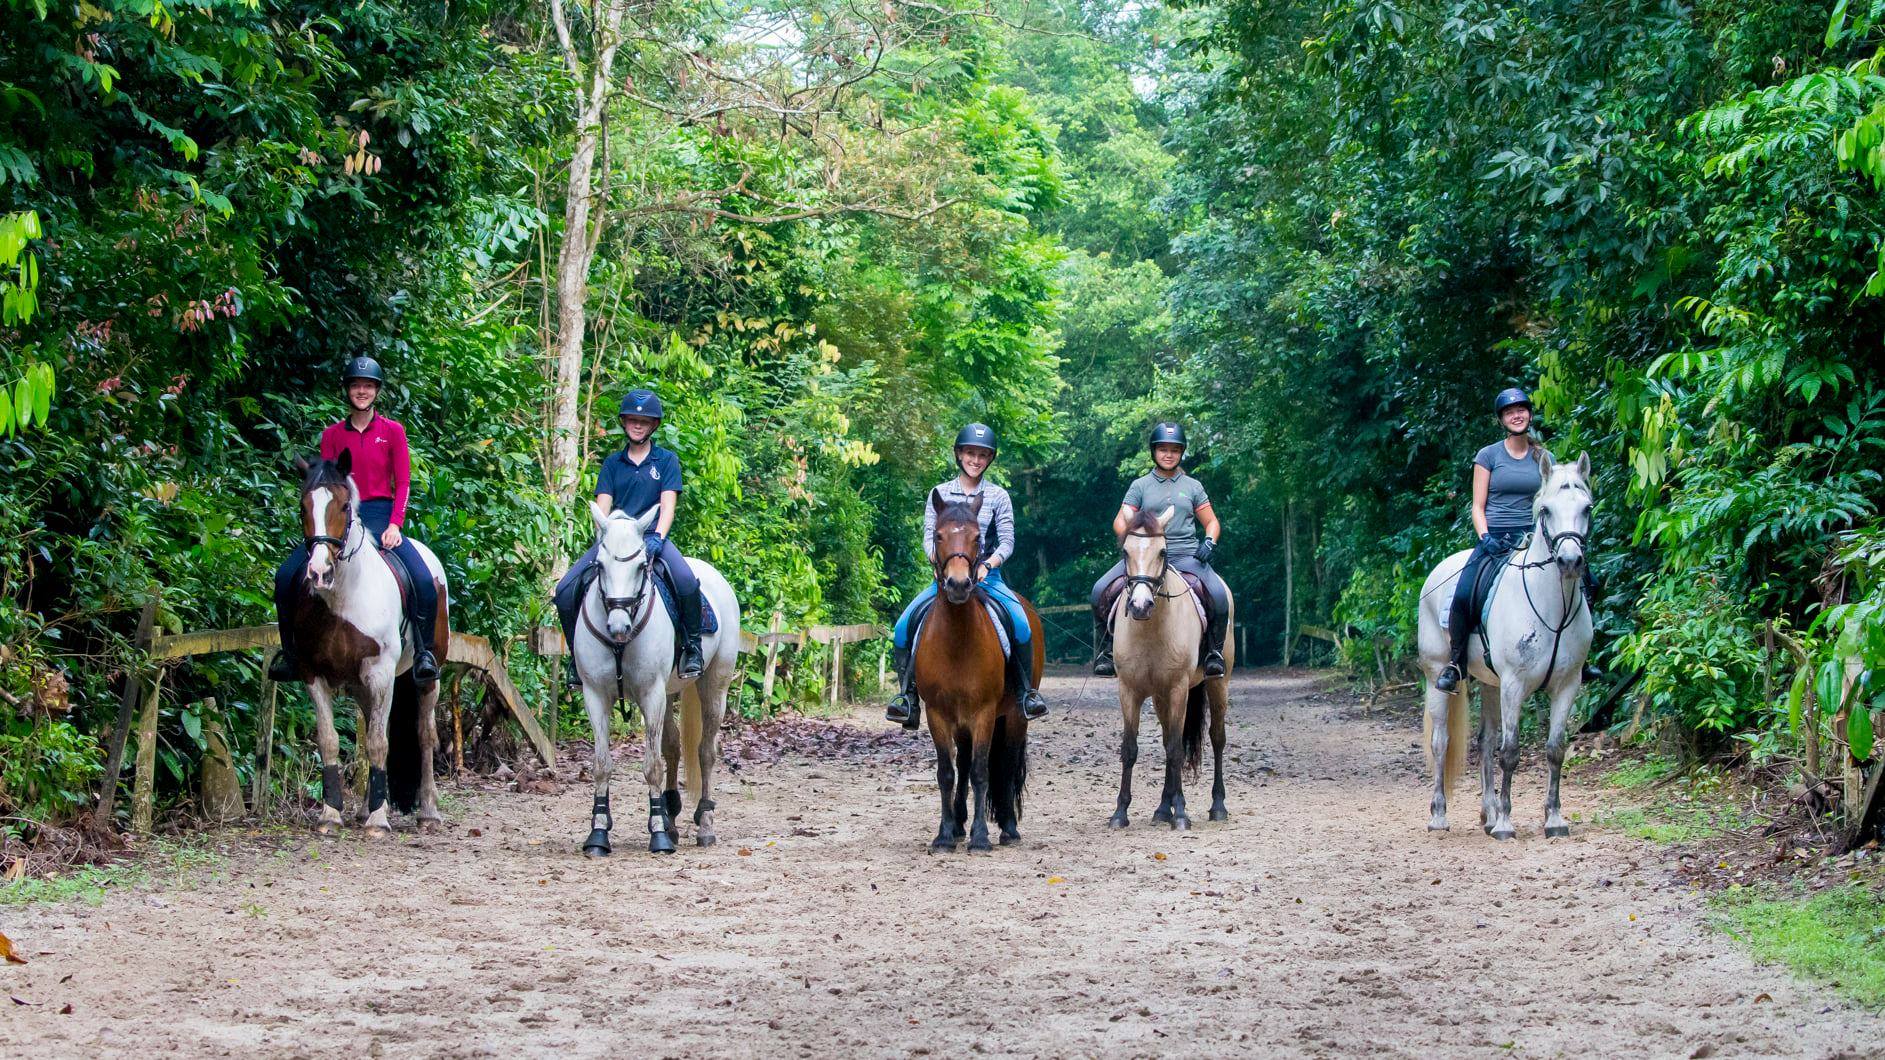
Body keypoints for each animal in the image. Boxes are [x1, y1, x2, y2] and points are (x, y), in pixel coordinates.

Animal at [284, 448, 446, 829]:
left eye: (344, 506)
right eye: (303, 505)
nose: (319, 572)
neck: (344, 596)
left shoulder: (382, 672)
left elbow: (378, 742)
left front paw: (378, 822)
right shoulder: (313, 673)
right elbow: (330, 741)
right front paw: (331, 814)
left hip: (427, 676)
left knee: (424, 734)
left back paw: (428, 811)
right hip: (360, 685)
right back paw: (366, 806)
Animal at [569, 497, 738, 852]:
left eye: (640, 566)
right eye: (599, 566)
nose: (618, 627)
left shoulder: (651, 693)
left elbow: (652, 765)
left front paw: (658, 834)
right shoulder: (595, 694)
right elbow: (602, 765)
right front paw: (598, 833)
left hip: (714, 686)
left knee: (706, 751)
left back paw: (704, 825)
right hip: (670, 693)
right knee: (673, 747)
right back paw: (671, 815)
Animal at [904, 490, 1040, 848]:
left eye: (978, 537)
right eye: (938, 535)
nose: (959, 584)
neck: (957, 641)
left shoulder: (984, 712)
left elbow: (981, 771)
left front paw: (980, 836)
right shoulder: (937, 713)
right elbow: (947, 773)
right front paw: (944, 835)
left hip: (1014, 716)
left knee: (1005, 764)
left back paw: (1008, 828)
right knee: (962, 763)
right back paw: (958, 824)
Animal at [1417, 448, 1590, 837]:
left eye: (1587, 508)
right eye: (1546, 510)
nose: (1570, 561)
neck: (1552, 606)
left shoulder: (1567, 685)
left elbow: (1555, 749)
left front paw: (1554, 819)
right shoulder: (1514, 684)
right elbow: (1510, 752)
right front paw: (1507, 826)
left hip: (1489, 683)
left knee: (1484, 741)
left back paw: (1489, 814)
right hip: (1438, 675)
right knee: (1441, 742)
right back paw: (1439, 816)